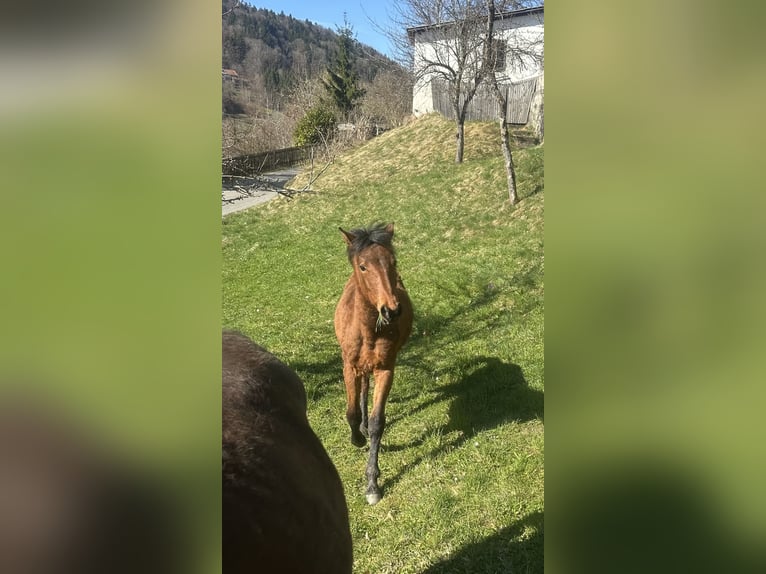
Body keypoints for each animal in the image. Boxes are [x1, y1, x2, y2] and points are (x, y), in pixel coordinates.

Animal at [334, 223, 413, 505]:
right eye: (363, 266)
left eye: (393, 261)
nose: (391, 310)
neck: (369, 330)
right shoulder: (348, 367)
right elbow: (351, 412)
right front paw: (357, 438)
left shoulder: (386, 369)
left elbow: (379, 421)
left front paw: (372, 484)